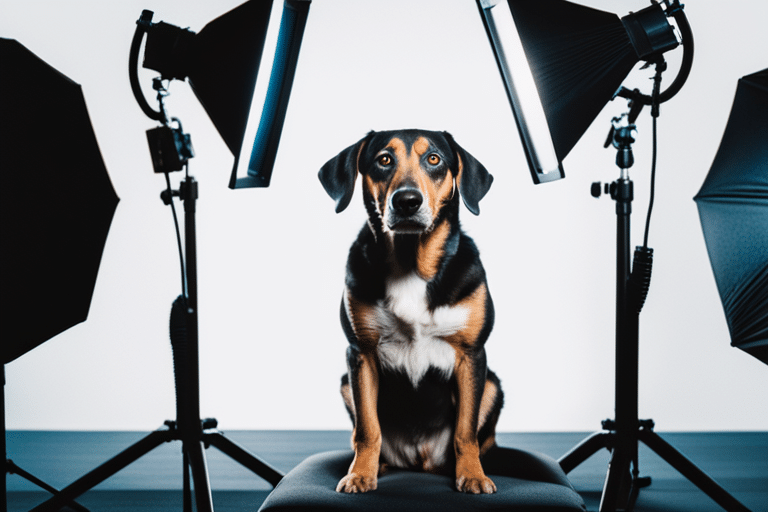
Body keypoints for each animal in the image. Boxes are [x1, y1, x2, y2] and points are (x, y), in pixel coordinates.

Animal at [318, 130, 504, 494]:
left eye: (433, 159)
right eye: (383, 159)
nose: (406, 201)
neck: (410, 263)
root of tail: (420, 459)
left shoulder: (471, 354)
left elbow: (466, 430)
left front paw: (473, 475)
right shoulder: (361, 354)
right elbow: (367, 430)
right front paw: (361, 474)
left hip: (492, 385)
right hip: (347, 382)